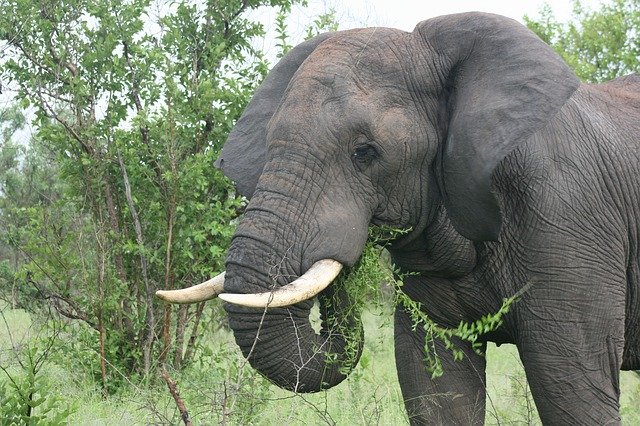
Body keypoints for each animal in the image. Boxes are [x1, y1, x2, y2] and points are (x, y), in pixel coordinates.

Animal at [156, 11, 640, 424]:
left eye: (365, 153)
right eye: (270, 142)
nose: (345, 263)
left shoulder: (567, 216)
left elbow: (572, 388)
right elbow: (436, 388)